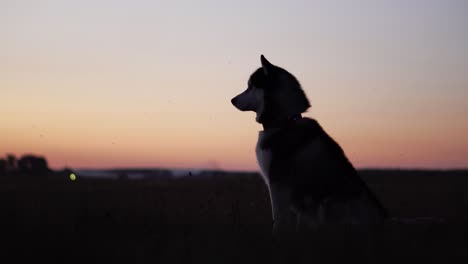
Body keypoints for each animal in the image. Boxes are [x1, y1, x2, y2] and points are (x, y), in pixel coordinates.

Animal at [231, 55, 388, 231]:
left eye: (250, 86)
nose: (232, 100)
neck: (284, 122)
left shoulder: (277, 184)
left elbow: (278, 221)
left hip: (328, 202)